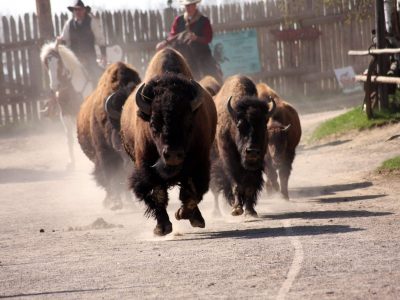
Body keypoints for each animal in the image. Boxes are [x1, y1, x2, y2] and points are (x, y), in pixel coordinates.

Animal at [40, 41, 94, 170]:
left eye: (59, 62)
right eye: (47, 64)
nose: (55, 86)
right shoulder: (65, 115)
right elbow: (69, 138)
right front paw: (71, 163)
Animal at [120, 48, 217, 237]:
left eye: (189, 123)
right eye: (153, 123)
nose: (172, 154)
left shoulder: (200, 163)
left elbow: (193, 192)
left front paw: (185, 215)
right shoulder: (145, 167)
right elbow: (157, 193)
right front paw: (162, 228)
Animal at [211, 74, 276, 216]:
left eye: (264, 126)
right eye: (240, 125)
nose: (252, 151)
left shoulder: (257, 163)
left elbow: (250, 185)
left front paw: (250, 211)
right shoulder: (230, 161)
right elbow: (236, 184)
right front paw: (237, 209)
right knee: (216, 189)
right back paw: (218, 211)